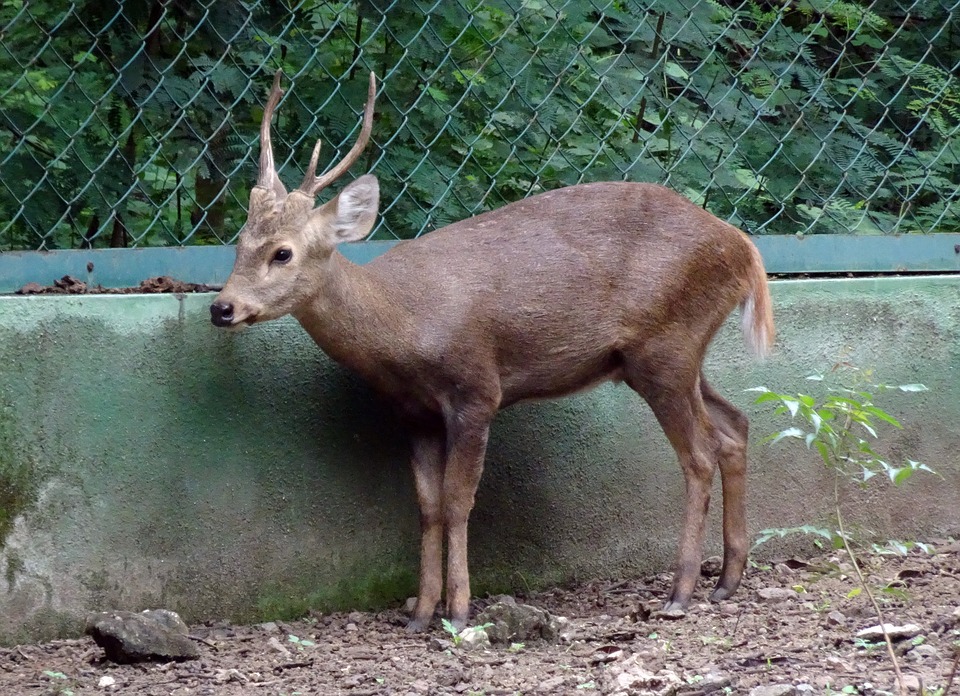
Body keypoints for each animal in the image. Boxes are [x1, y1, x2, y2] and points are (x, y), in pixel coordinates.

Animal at [210, 70, 772, 632]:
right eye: (238, 244)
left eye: (283, 252)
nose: (221, 307)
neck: (403, 326)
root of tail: (745, 248)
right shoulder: (412, 411)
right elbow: (428, 504)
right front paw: (422, 612)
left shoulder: (477, 388)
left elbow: (459, 500)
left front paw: (458, 610)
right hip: (677, 354)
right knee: (734, 426)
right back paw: (726, 580)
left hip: (666, 348)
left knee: (699, 454)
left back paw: (680, 592)